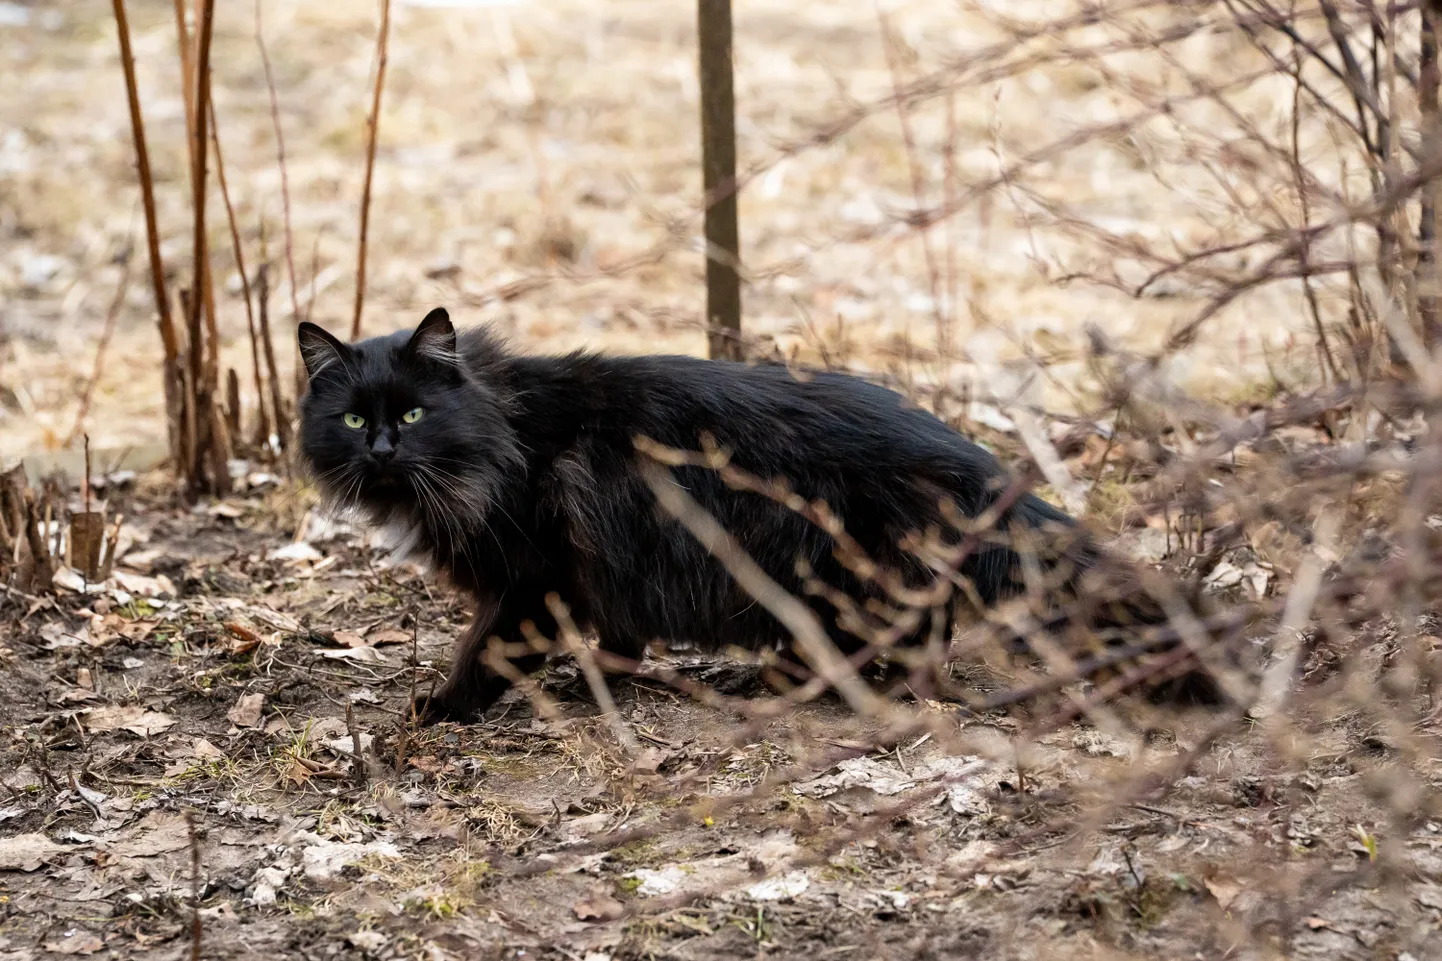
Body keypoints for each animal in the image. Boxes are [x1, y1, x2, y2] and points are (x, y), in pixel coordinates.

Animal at [298, 307, 1176, 718]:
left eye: (414, 415)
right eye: (353, 418)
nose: (381, 449)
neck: (504, 431)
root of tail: (965, 451)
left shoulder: (534, 573)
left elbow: (486, 647)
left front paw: (445, 707)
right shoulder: (601, 566)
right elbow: (620, 634)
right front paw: (606, 680)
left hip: (831, 568)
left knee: (898, 631)